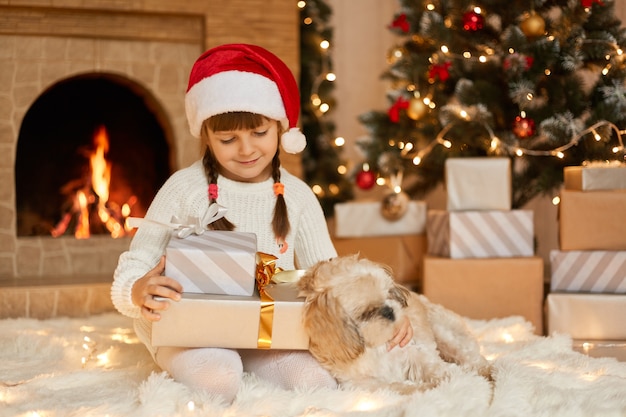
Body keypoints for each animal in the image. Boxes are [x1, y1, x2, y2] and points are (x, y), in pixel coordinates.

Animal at [298, 254, 492, 394]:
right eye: (366, 313)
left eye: (388, 294)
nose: (389, 310)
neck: (375, 348)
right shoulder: (363, 384)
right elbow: (396, 386)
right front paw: (425, 388)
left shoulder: (412, 353)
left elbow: (433, 367)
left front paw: (450, 378)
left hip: (444, 335)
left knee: (472, 358)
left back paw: (487, 372)